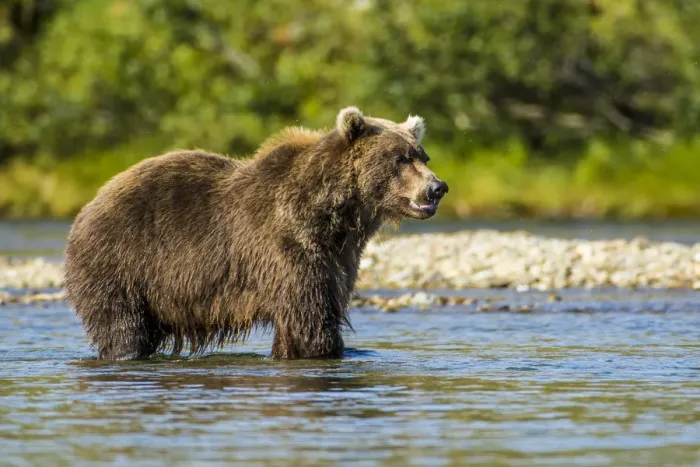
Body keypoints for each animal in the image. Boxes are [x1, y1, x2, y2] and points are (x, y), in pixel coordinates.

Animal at [64, 107, 448, 360]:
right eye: (400, 158)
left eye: (422, 155)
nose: (437, 187)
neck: (335, 213)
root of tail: (90, 203)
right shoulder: (287, 246)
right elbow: (309, 322)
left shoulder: (338, 255)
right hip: (122, 263)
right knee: (122, 328)